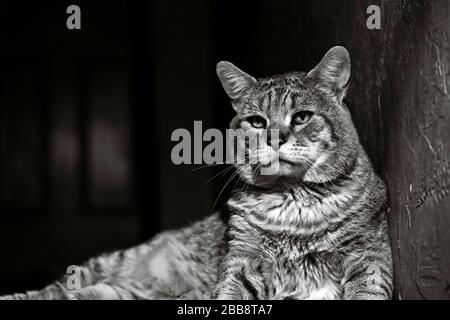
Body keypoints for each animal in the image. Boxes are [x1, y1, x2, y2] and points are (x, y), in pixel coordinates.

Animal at [0, 45, 392, 300]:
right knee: (55, 289)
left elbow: (367, 289)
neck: (291, 202)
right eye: (256, 121)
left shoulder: (369, 257)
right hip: (114, 261)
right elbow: (229, 292)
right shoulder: (241, 262)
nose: (275, 137)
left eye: (302, 117)